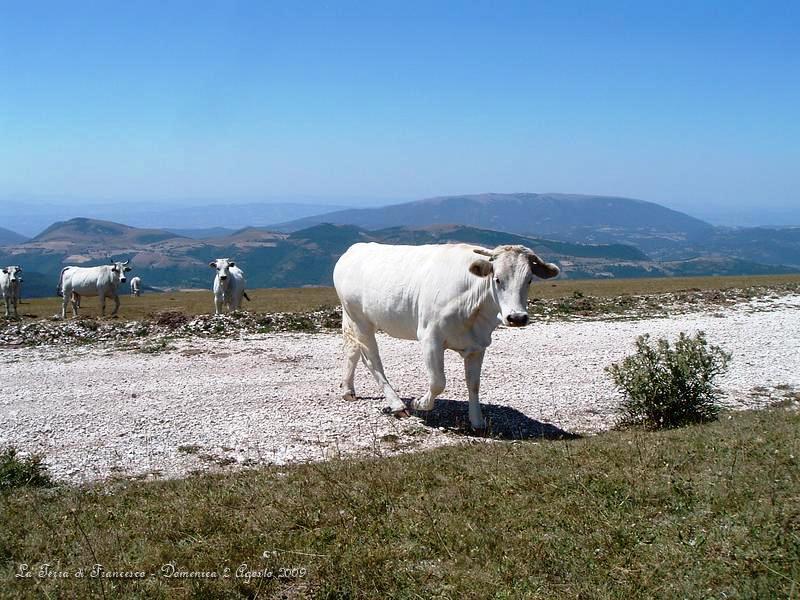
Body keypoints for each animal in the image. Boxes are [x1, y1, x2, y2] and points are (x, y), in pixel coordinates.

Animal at [332, 241, 556, 428]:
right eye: (497, 279)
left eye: (529, 280)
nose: (517, 317)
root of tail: (355, 249)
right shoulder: (430, 338)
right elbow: (438, 382)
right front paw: (420, 403)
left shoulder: (479, 344)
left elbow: (474, 384)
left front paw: (477, 421)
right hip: (361, 320)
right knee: (371, 359)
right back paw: (397, 405)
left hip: (352, 319)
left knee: (352, 350)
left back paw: (348, 390)